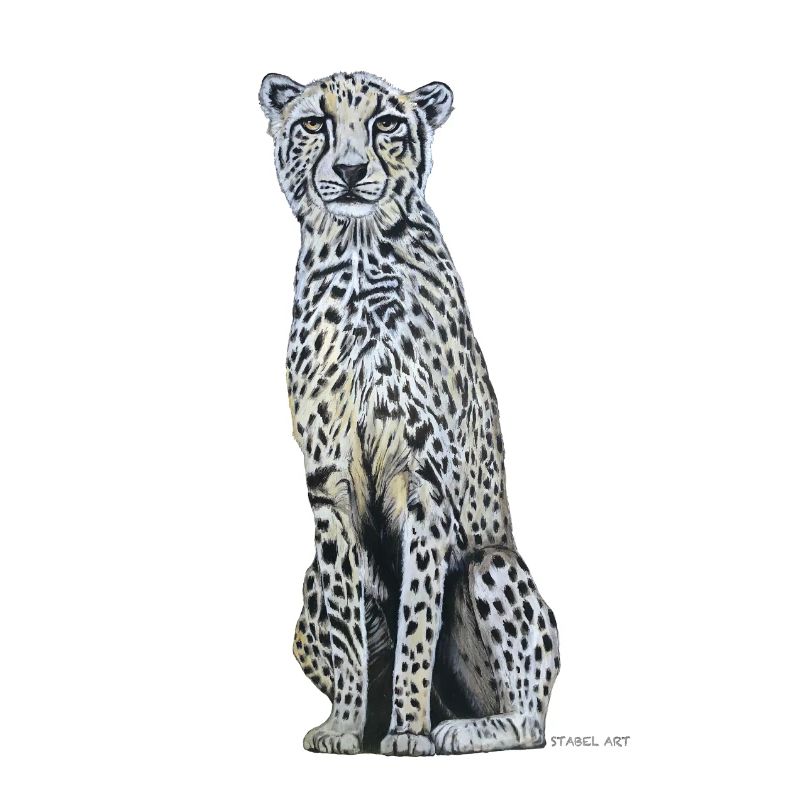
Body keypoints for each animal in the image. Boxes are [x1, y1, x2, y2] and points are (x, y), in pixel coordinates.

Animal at [258, 71, 560, 756]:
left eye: (387, 123)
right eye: (313, 123)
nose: (348, 170)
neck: (357, 254)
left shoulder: (423, 477)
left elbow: (418, 615)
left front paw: (407, 732)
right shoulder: (328, 480)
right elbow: (346, 624)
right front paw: (346, 728)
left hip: (492, 563)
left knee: (531, 724)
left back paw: (462, 727)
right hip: (306, 588)